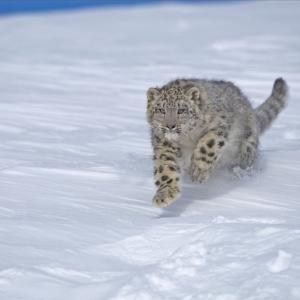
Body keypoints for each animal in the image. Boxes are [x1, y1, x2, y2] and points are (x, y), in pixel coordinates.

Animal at [147, 78, 288, 207]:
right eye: (160, 110)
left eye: (181, 110)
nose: (170, 126)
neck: (186, 139)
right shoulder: (164, 145)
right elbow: (165, 168)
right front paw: (165, 195)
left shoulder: (219, 125)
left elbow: (208, 145)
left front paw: (198, 171)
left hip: (246, 150)